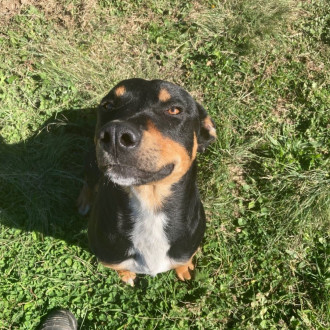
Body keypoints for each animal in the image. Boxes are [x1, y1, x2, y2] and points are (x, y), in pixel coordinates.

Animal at [77, 78, 217, 284]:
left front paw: (185, 270)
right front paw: (127, 276)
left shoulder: (186, 250)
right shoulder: (109, 258)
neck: (150, 205)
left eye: (174, 110)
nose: (115, 134)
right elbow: (120, 268)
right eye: (108, 105)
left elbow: (183, 262)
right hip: (91, 161)